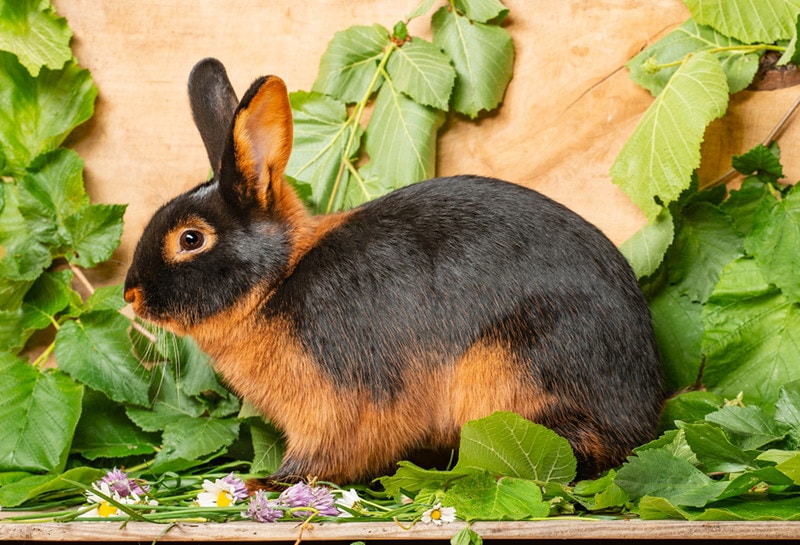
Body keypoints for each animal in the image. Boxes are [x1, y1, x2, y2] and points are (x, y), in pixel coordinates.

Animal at [125, 58, 664, 484]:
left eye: (191, 239)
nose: (130, 295)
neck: (276, 281)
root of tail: (643, 411)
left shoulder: (338, 404)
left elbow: (324, 455)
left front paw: (267, 484)